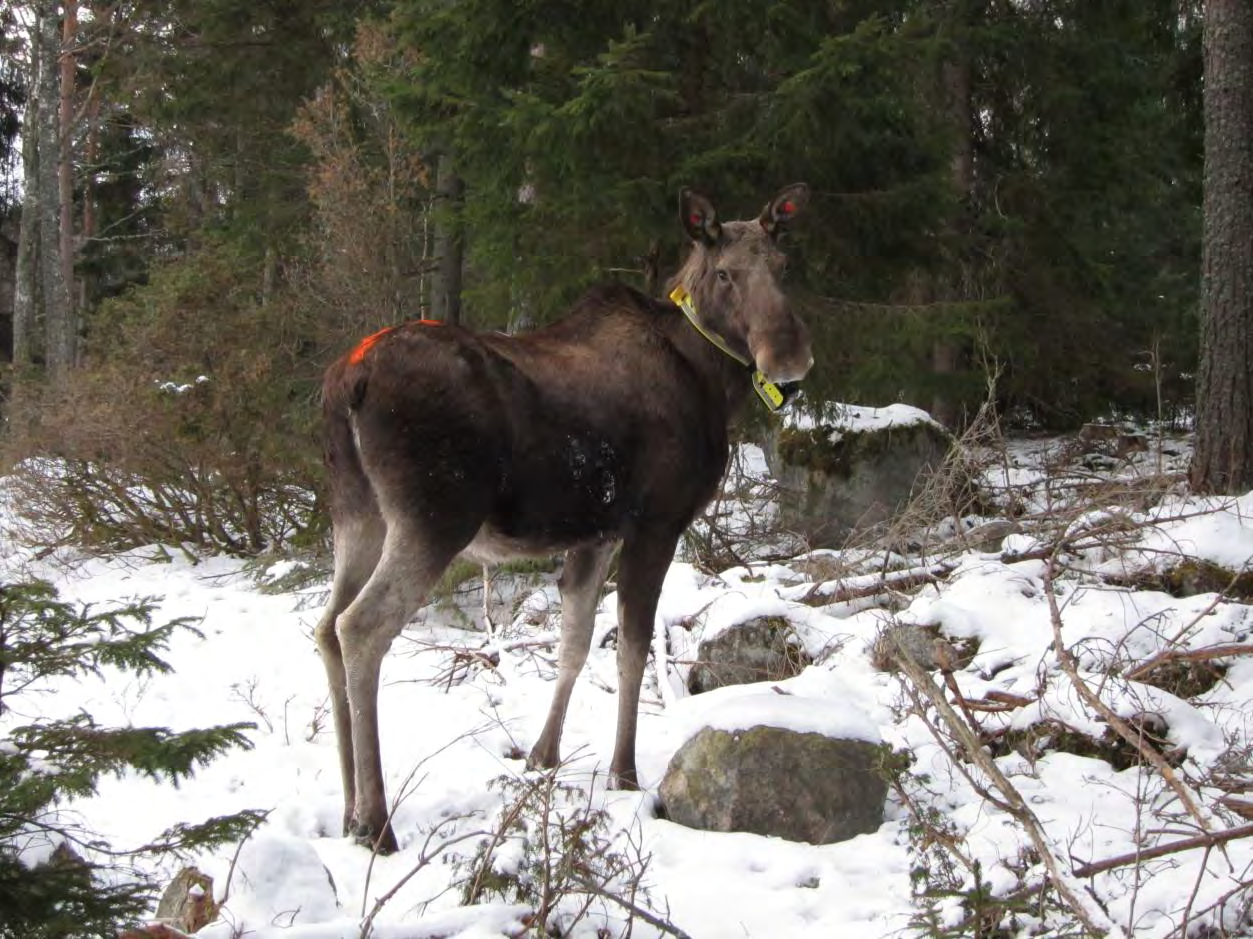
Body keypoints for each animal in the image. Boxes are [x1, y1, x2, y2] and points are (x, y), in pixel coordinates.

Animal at [315, 183, 811, 847]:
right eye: (725, 273)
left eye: (784, 266)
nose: (788, 357)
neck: (711, 383)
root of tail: (350, 381)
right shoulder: (657, 522)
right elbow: (631, 650)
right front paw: (624, 772)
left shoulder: (593, 534)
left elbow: (574, 642)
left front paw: (542, 755)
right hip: (434, 517)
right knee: (361, 627)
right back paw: (375, 821)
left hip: (357, 513)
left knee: (326, 625)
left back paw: (347, 808)